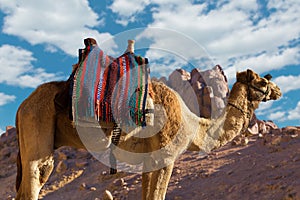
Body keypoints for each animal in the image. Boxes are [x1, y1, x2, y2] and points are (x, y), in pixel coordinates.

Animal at [14, 46, 282, 199]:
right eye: (262, 82)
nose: (278, 90)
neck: (194, 125)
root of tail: (21, 107)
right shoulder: (167, 157)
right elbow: (157, 196)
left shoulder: (149, 160)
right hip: (37, 127)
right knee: (36, 179)